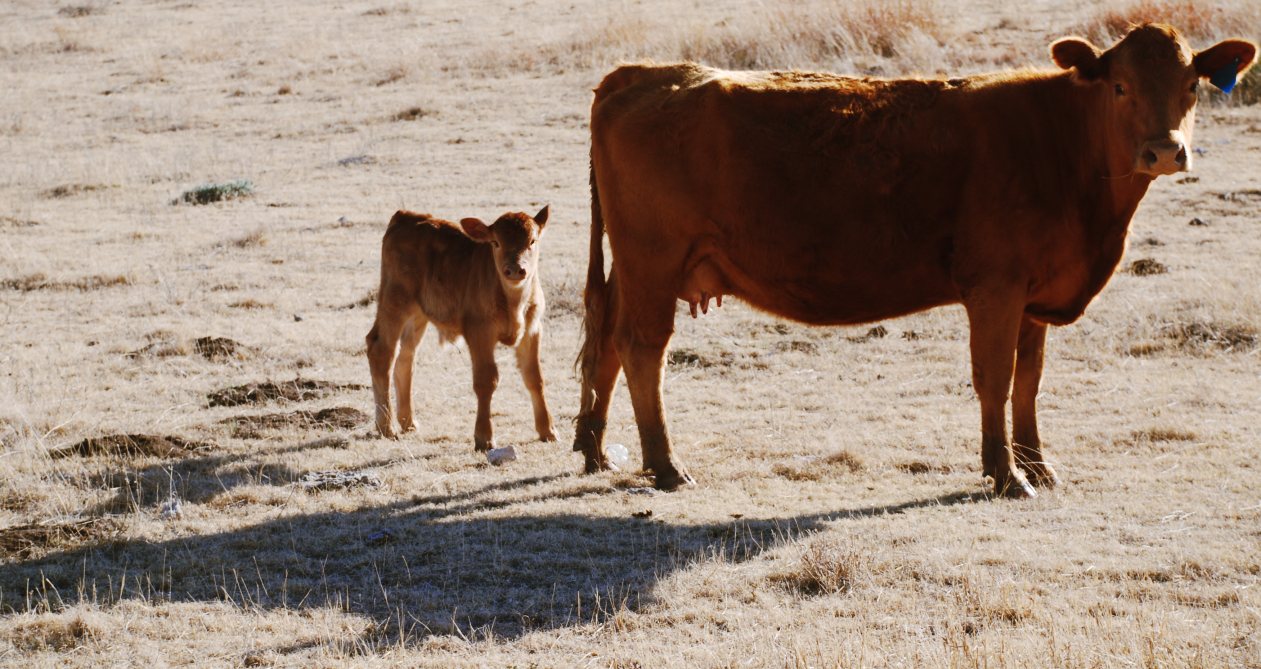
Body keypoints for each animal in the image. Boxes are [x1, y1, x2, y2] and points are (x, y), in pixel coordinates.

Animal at [368, 206, 557, 453]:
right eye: (496, 242)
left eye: (532, 241)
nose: (515, 270)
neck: (513, 302)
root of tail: (405, 217)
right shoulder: (479, 333)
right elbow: (486, 380)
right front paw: (484, 438)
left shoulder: (532, 330)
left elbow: (535, 377)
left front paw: (548, 431)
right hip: (394, 301)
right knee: (381, 351)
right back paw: (386, 426)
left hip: (418, 315)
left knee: (406, 359)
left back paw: (408, 422)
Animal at [577, 23, 1255, 493]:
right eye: (1120, 86)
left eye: (1192, 86)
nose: (1164, 151)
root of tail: (644, 73)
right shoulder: (996, 286)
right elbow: (995, 378)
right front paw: (1008, 475)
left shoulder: (1035, 294)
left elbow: (1030, 381)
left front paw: (1039, 464)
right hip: (654, 260)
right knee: (642, 349)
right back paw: (665, 465)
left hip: (634, 267)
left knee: (607, 341)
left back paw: (596, 450)